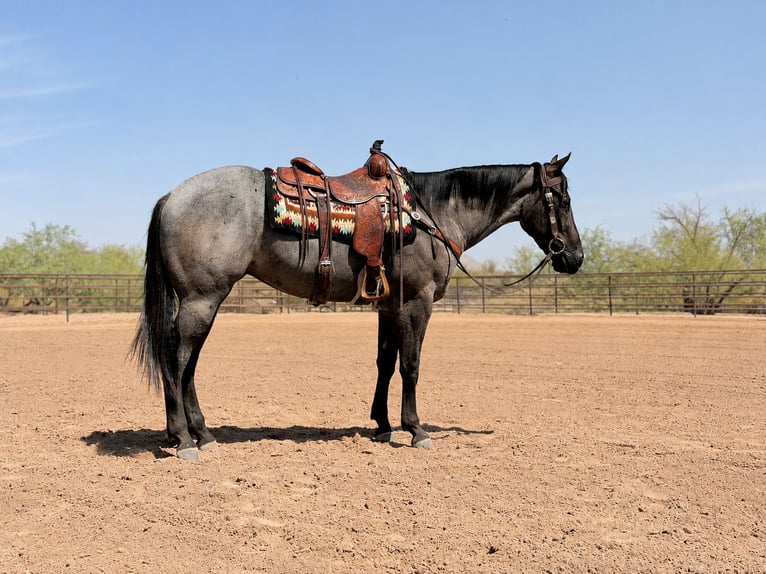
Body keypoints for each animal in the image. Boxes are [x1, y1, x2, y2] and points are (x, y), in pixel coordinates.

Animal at [131, 149, 583, 460]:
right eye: (562, 199)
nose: (575, 257)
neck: (431, 215)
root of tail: (172, 196)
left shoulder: (389, 305)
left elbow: (385, 363)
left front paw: (383, 425)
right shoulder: (416, 302)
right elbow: (411, 365)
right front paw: (416, 430)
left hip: (204, 302)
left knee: (187, 364)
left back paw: (201, 435)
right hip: (202, 299)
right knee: (176, 360)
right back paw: (184, 439)